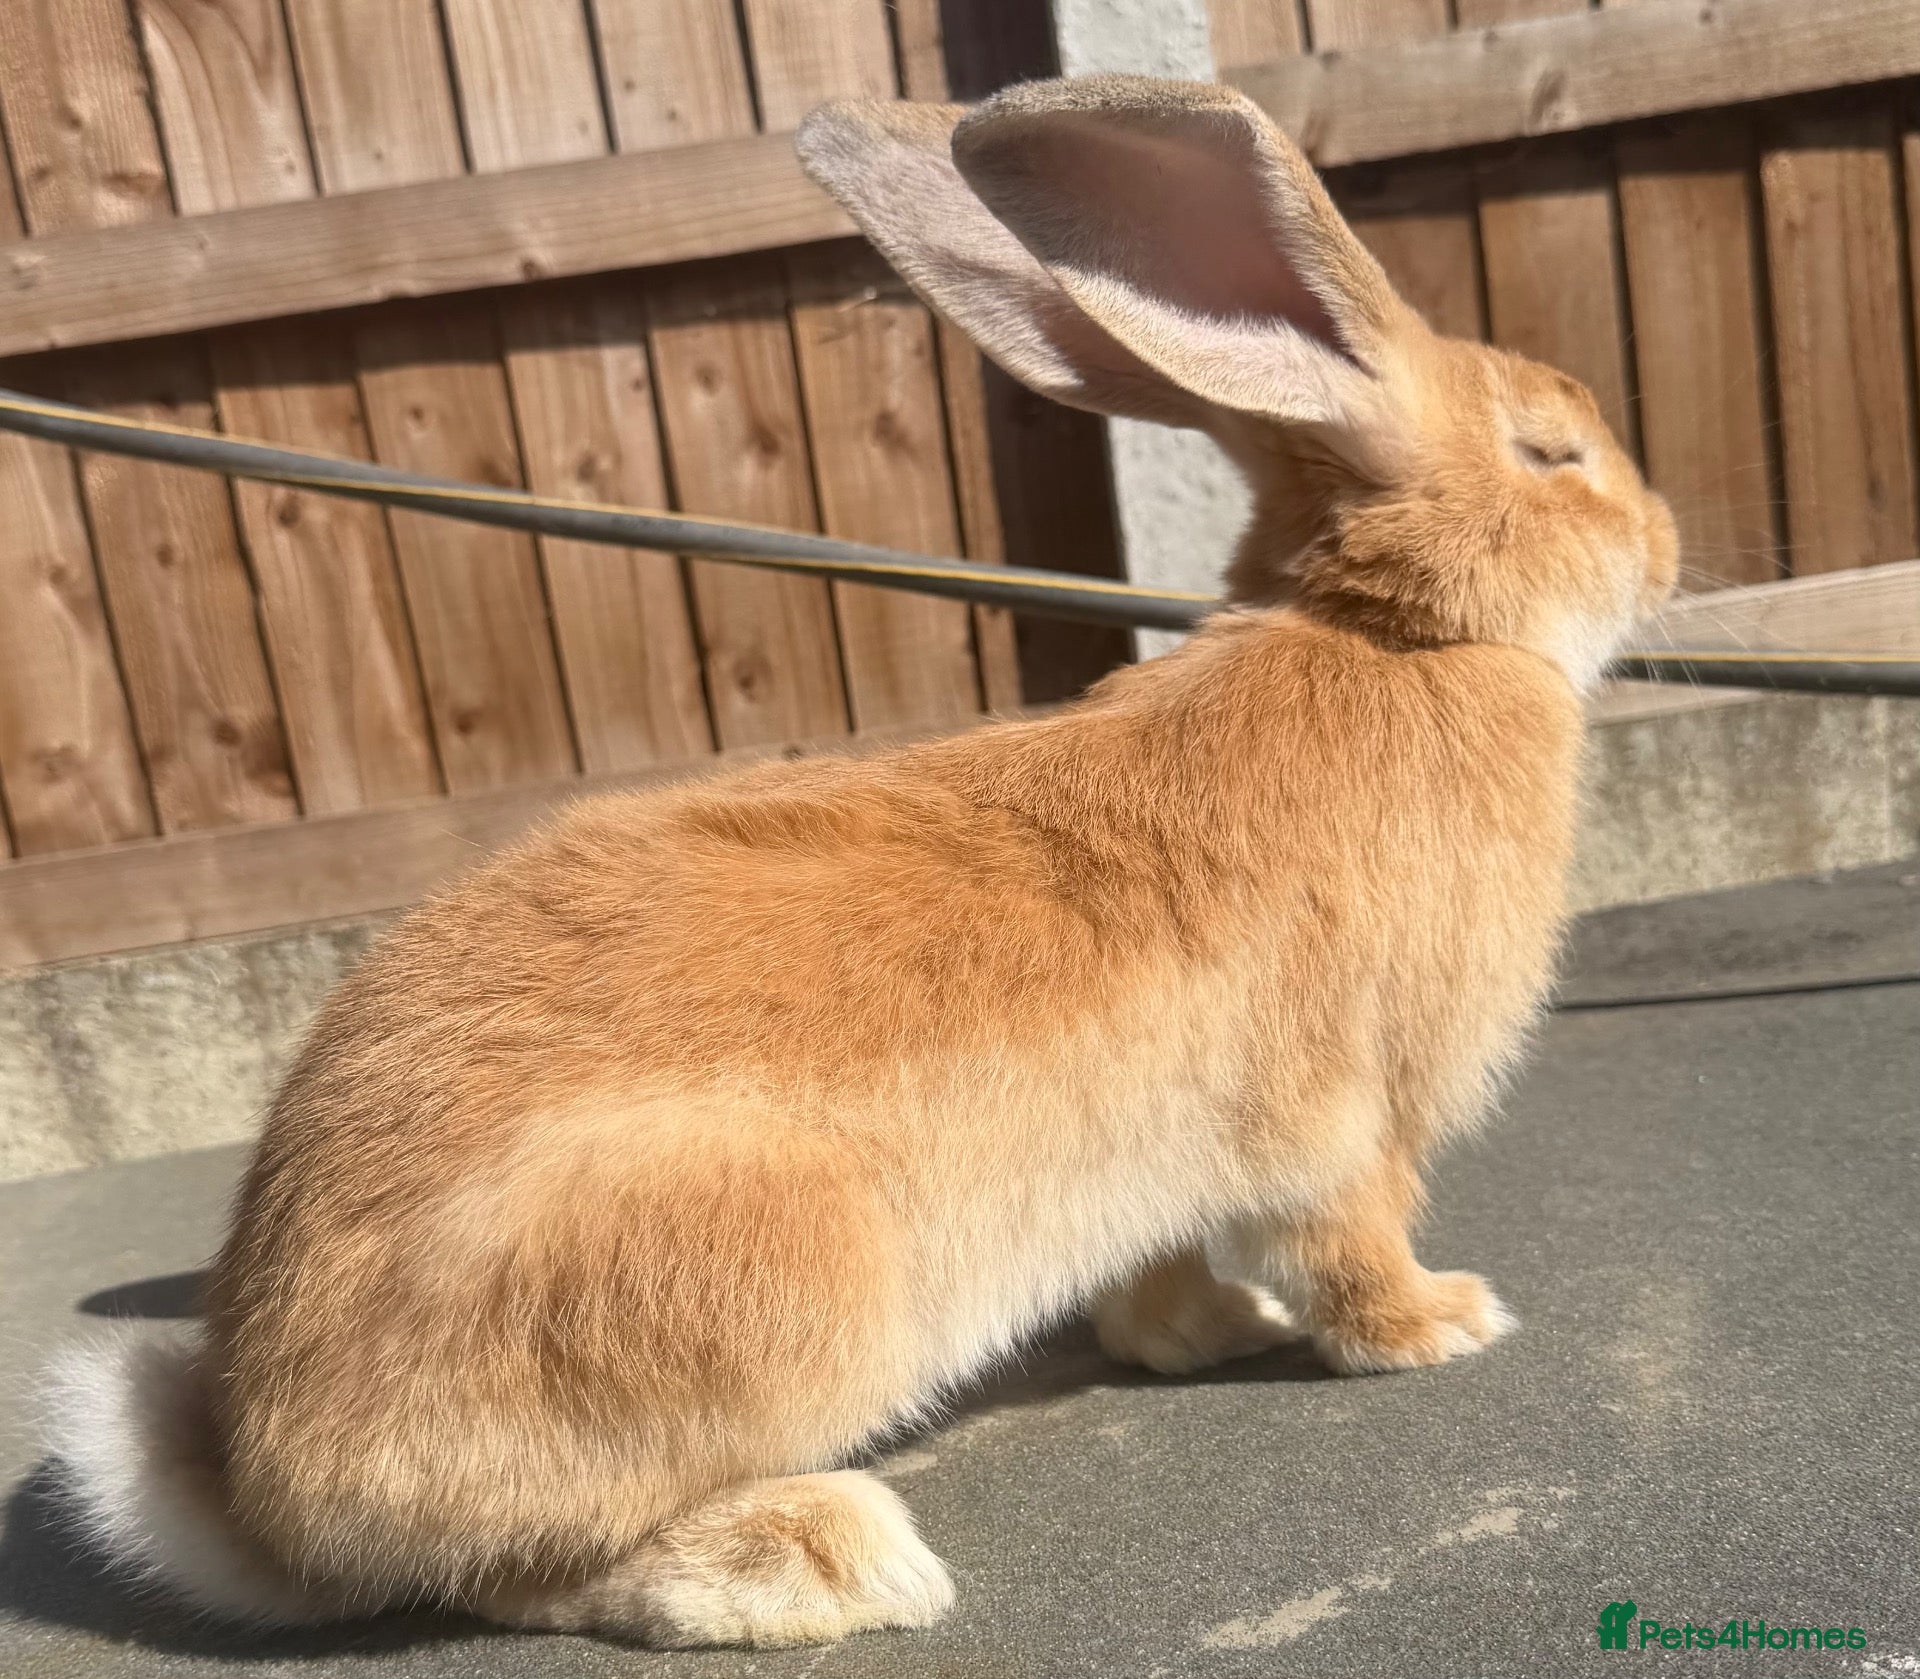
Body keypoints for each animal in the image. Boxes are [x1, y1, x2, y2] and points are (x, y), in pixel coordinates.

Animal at [42, 74, 1677, 1650]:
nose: (1666, 544)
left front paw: (1207, 1335)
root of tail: (266, 1482)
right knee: (512, 1570)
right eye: (1553, 451)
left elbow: (1162, 1276)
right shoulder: (1353, 1112)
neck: (1400, 634)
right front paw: (1441, 1323)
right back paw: (813, 1559)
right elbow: (1350, 1235)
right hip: (762, 1279)